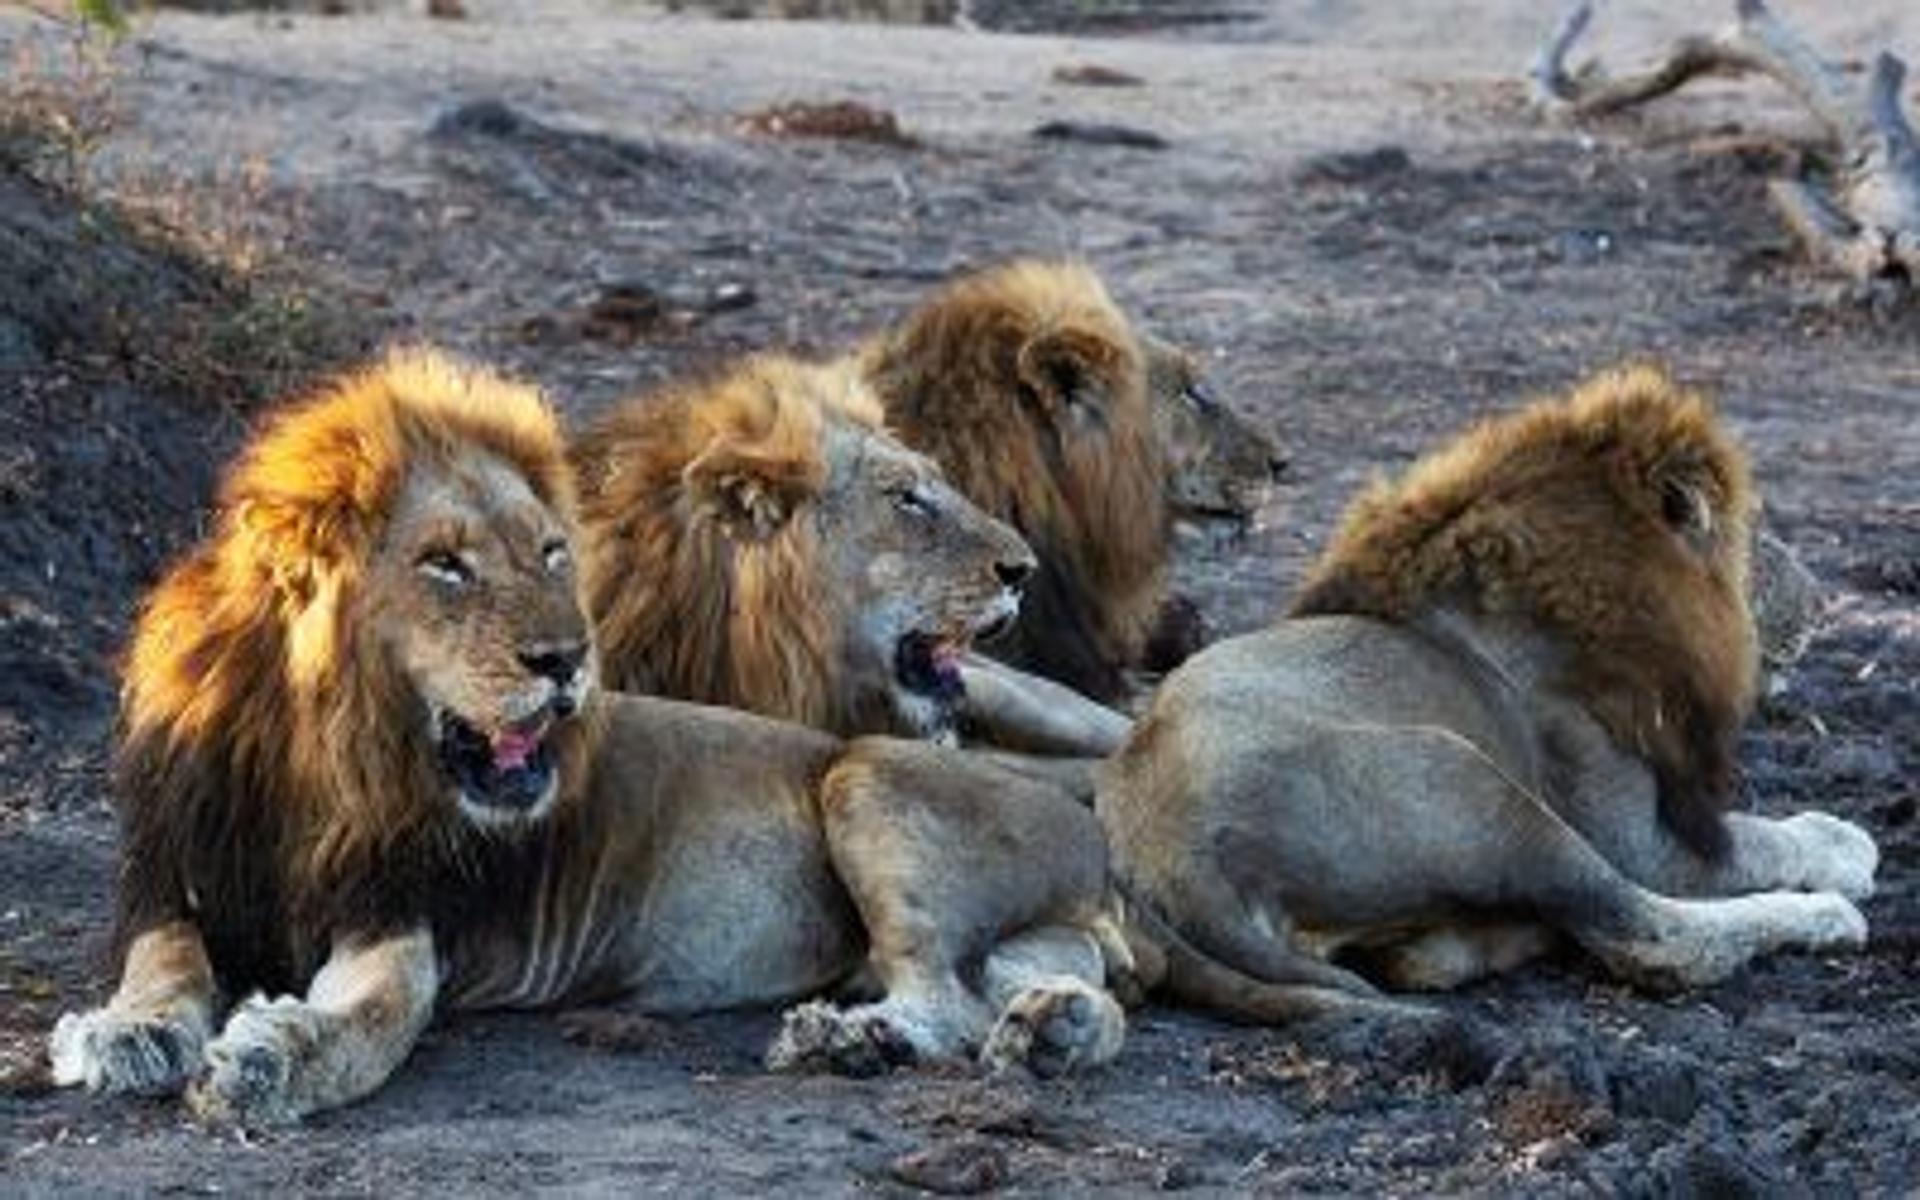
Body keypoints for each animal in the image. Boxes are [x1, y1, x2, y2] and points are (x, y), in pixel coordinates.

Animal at [1097, 364, 1877, 1020]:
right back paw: (1829, 917)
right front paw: (1846, 846)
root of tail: (1170, 863)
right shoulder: (1636, 835)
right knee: (1650, 935)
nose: (1824, 603)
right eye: (1757, 535)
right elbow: (1764, 839)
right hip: (1478, 786)